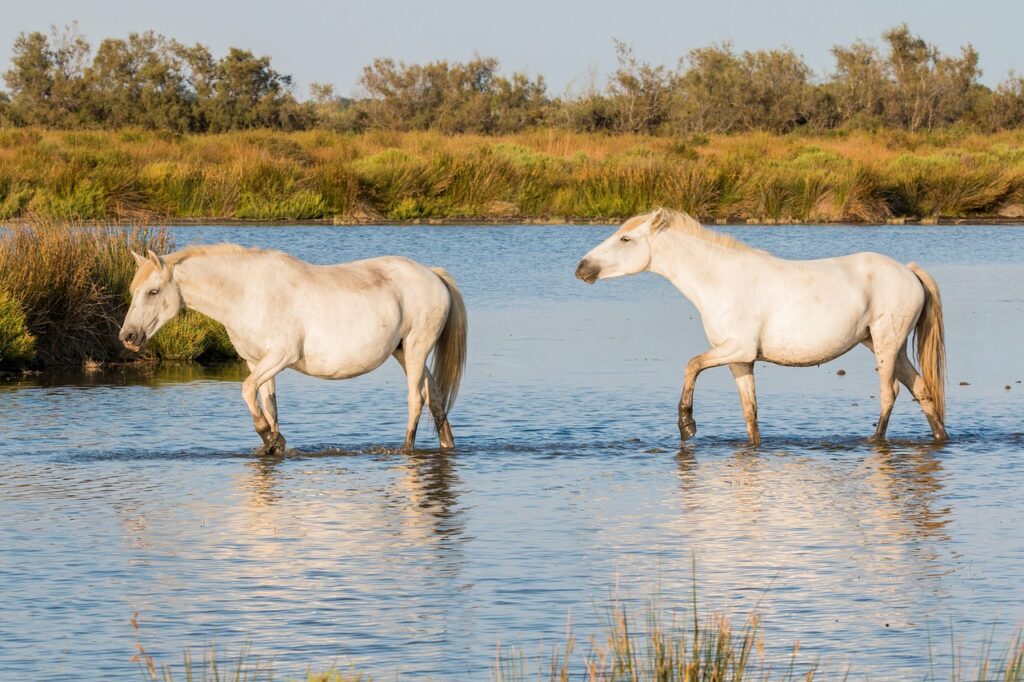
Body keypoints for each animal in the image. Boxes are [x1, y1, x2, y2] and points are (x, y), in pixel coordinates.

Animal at [119, 245, 467, 455]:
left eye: (153, 292)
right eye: (135, 291)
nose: (128, 336)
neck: (247, 293)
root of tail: (433, 275)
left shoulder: (280, 357)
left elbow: (247, 391)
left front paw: (269, 437)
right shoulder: (257, 362)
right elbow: (268, 404)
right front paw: (273, 444)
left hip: (416, 348)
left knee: (416, 400)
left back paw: (405, 450)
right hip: (404, 352)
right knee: (435, 398)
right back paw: (447, 445)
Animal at [575, 208, 947, 445]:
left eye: (625, 239)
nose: (581, 267)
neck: (720, 280)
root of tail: (908, 271)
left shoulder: (736, 348)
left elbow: (691, 365)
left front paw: (687, 425)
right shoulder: (740, 360)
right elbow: (750, 413)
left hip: (886, 344)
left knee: (890, 393)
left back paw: (875, 440)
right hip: (887, 346)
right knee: (922, 390)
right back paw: (940, 437)